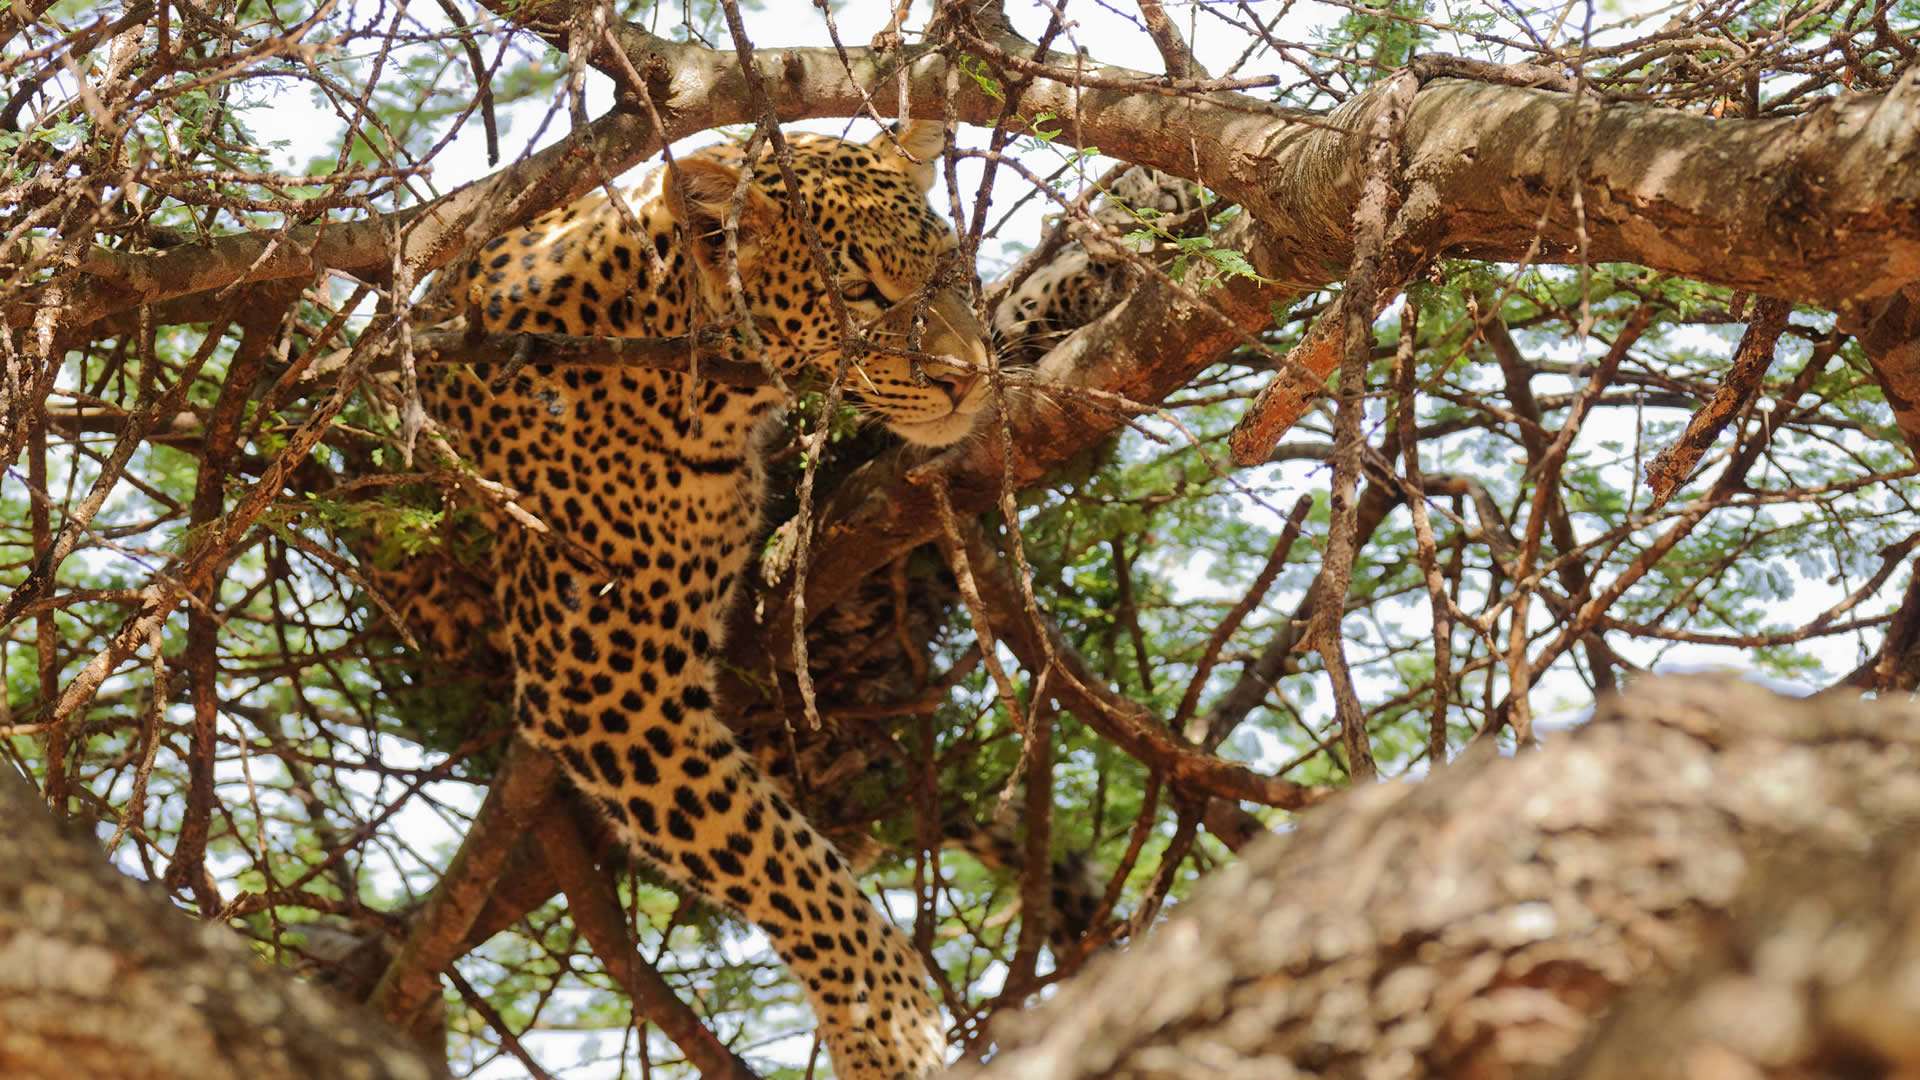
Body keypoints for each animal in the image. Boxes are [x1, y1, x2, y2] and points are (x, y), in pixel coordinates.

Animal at [424, 119, 990, 1076]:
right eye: (858, 292)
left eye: (952, 271)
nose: (969, 379)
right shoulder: (607, 691)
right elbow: (784, 862)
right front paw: (890, 1026)